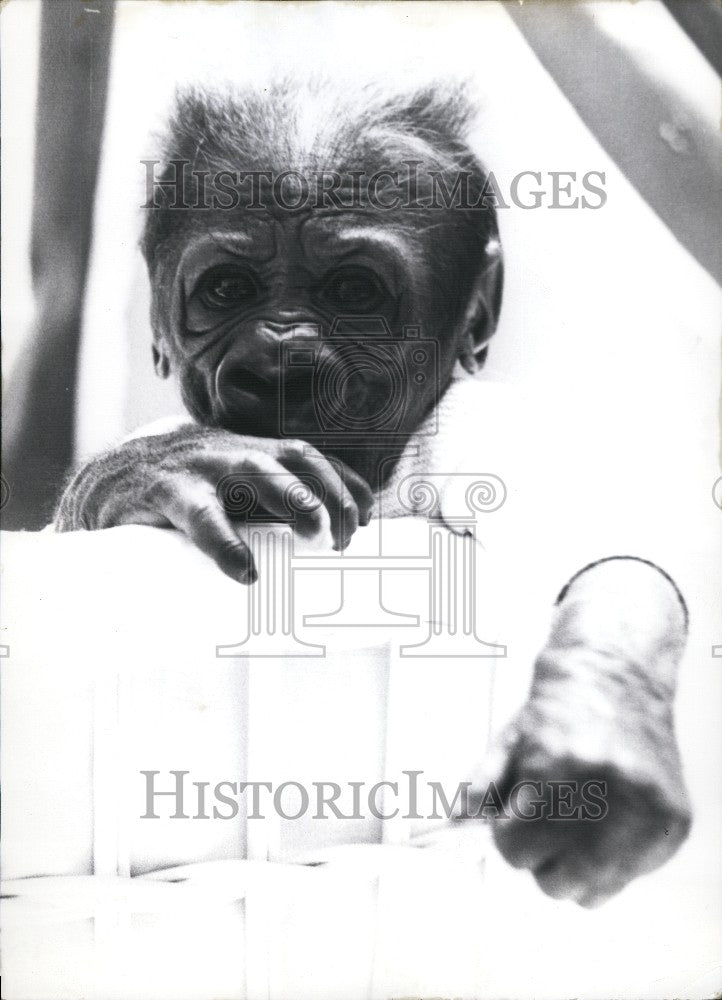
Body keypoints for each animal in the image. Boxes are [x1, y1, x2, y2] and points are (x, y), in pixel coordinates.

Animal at [54, 79, 691, 906]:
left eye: (353, 289)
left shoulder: (484, 431)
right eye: (227, 288)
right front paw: (169, 466)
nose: (283, 355)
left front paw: (597, 717)